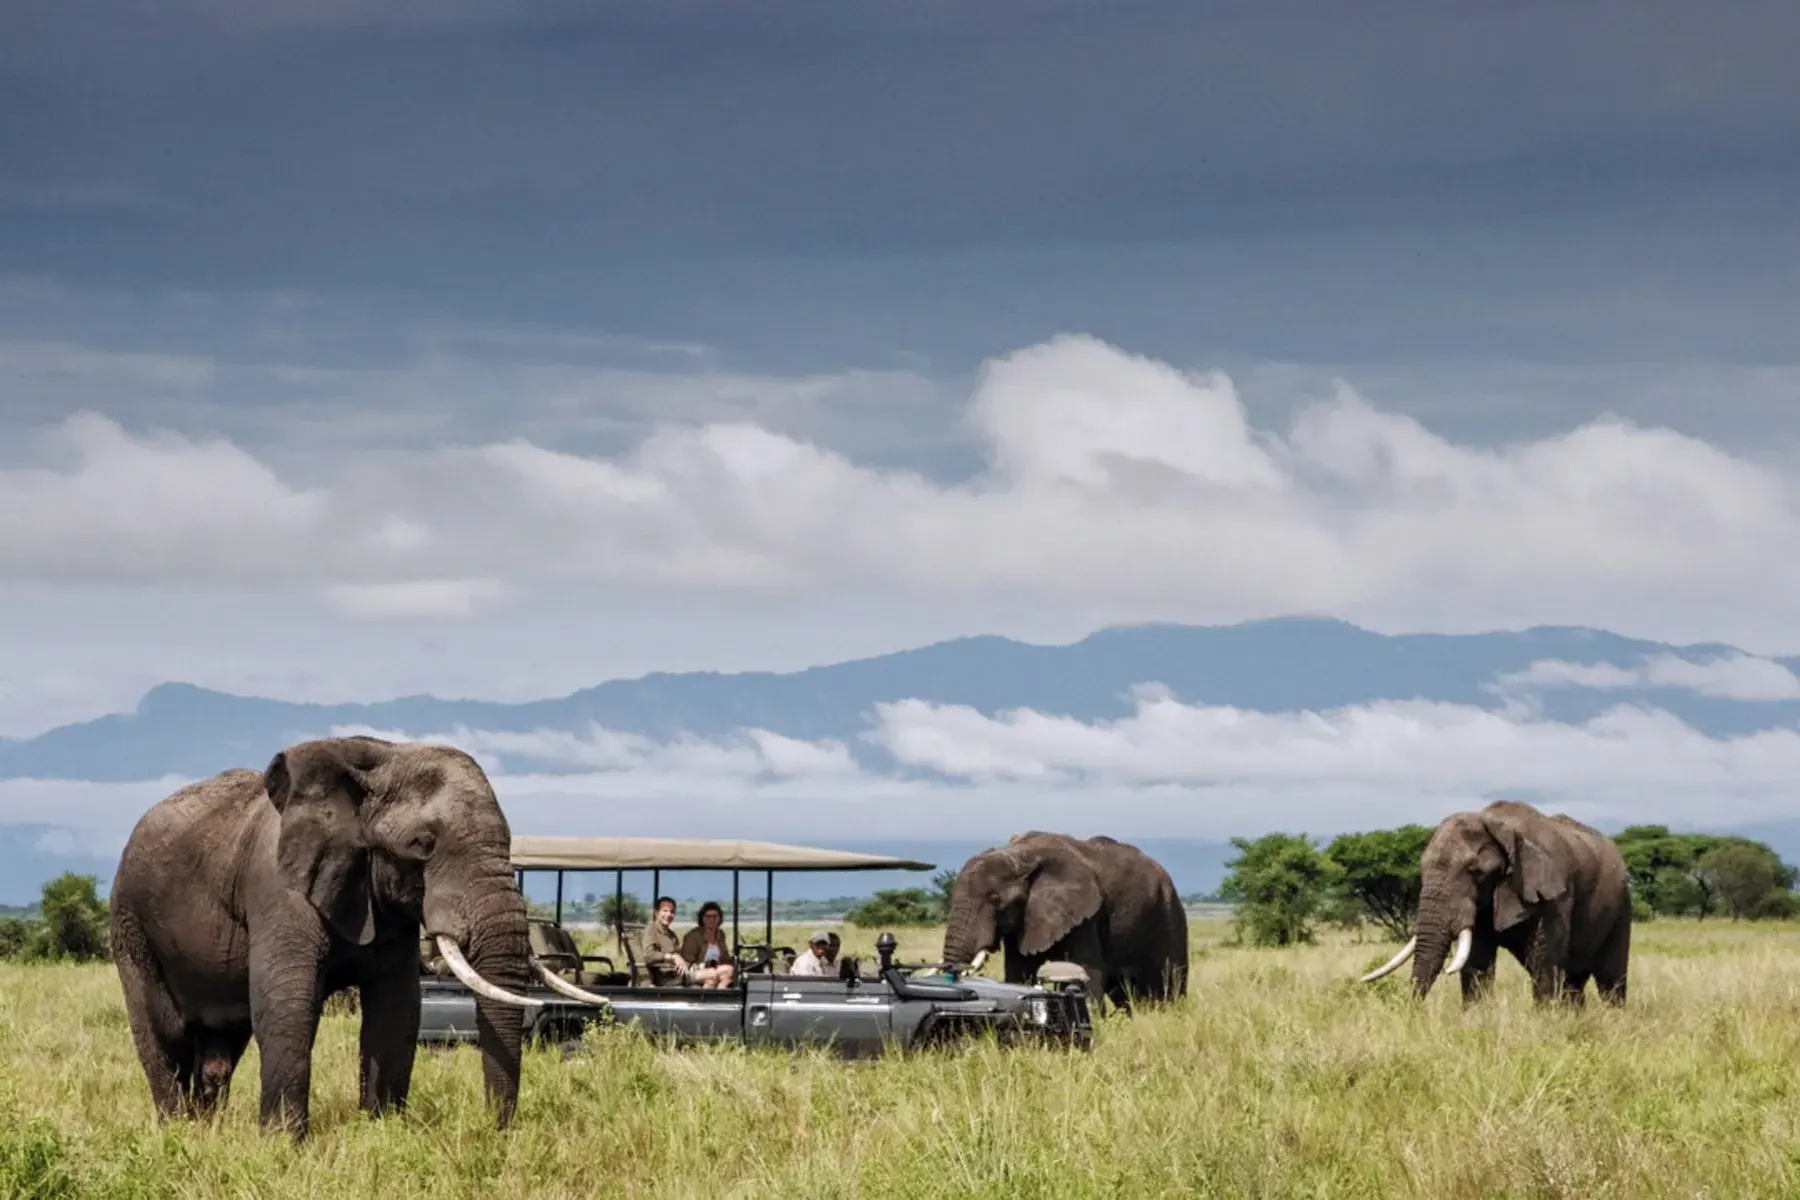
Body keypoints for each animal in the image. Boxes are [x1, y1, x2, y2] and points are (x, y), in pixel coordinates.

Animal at [109, 735, 576, 1140]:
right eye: (422, 844)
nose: (496, 1130)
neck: (382, 758)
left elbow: (397, 1011)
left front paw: (382, 1132)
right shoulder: (278, 889)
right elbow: (287, 1007)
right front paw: (282, 1146)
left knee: (221, 1046)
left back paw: (207, 1130)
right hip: (131, 923)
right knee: (164, 1031)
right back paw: (177, 1131)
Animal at [941, 831, 1188, 1012]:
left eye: (995, 900)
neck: (1022, 853)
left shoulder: (1086, 916)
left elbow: (1085, 972)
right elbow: (1019, 973)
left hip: (1169, 914)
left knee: (1167, 984)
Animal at [1356, 799, 1631, 1006]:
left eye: (1476, 872)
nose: (1412, 1012)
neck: (1498, 824)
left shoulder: (1555, 895)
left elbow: (1544, 961)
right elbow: (1477, 962)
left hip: (1621, 905)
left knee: (1610, 979)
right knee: (1574, 982)